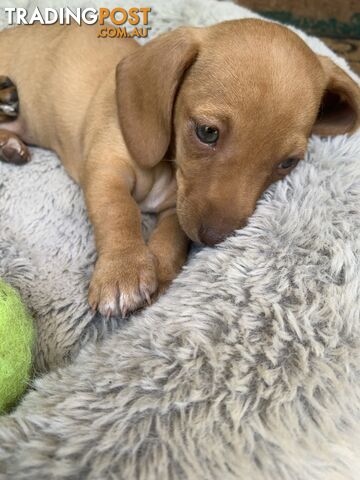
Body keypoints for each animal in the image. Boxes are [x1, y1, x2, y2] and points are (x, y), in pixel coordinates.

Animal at [0, 20, 358, 316]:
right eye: (207, 132)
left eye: (287, 163)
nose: (214, 239)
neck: (166, 166)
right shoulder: (106, 171)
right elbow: (118, 212)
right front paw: (122, 271)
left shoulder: (178, 207)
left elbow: (173, 235)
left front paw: (158, 271)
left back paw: (10, 145)